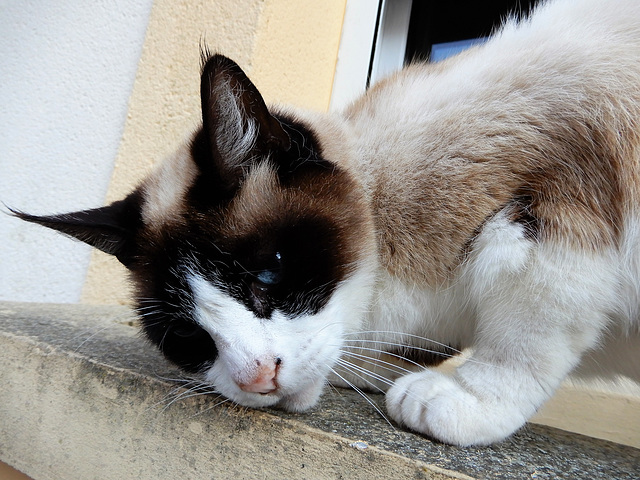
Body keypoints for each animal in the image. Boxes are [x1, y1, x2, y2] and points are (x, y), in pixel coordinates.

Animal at [12, 0, 640, 446]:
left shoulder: (555, 204)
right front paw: (376, 372)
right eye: (189, 338)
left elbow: (525, 333)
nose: (257, 378)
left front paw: (460, 400)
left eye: (268, 274)